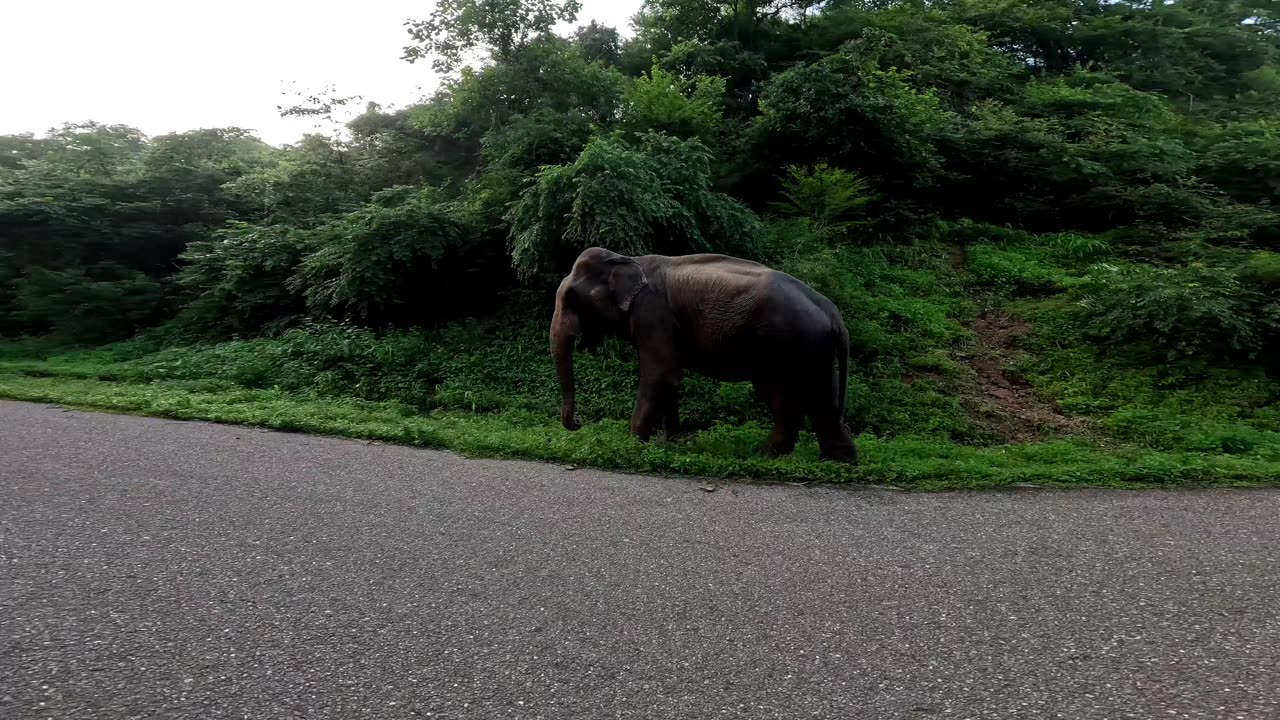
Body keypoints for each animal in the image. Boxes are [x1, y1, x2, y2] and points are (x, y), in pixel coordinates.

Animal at [550, 243, 860, 461]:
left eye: (572, 297)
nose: (579, 423)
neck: (629, 258)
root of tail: (833, 311)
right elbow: (670, 377)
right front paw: (674, 443)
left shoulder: (653, 312)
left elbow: (660, 373)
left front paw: (633, 445)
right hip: (816, 348)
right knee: (822, 397)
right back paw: (837, 461)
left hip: (792, 343)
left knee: (787, 398)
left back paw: (764, 454)